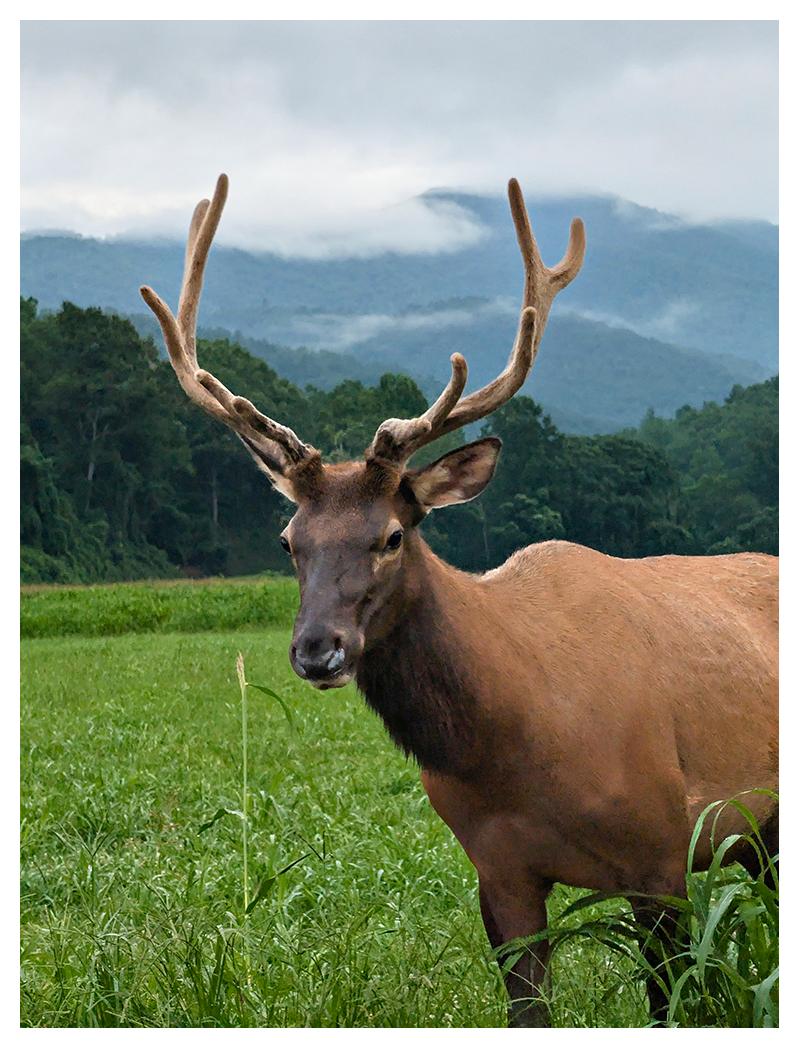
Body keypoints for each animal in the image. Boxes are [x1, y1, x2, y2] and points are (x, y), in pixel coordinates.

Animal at [140, 174, 778, 1027]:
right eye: (287, 541)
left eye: (390, 535)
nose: (317, 649)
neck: (525, 732)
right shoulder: (497, 870)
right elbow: (526, 1010)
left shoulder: (661, 845)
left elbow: (670, 1004)